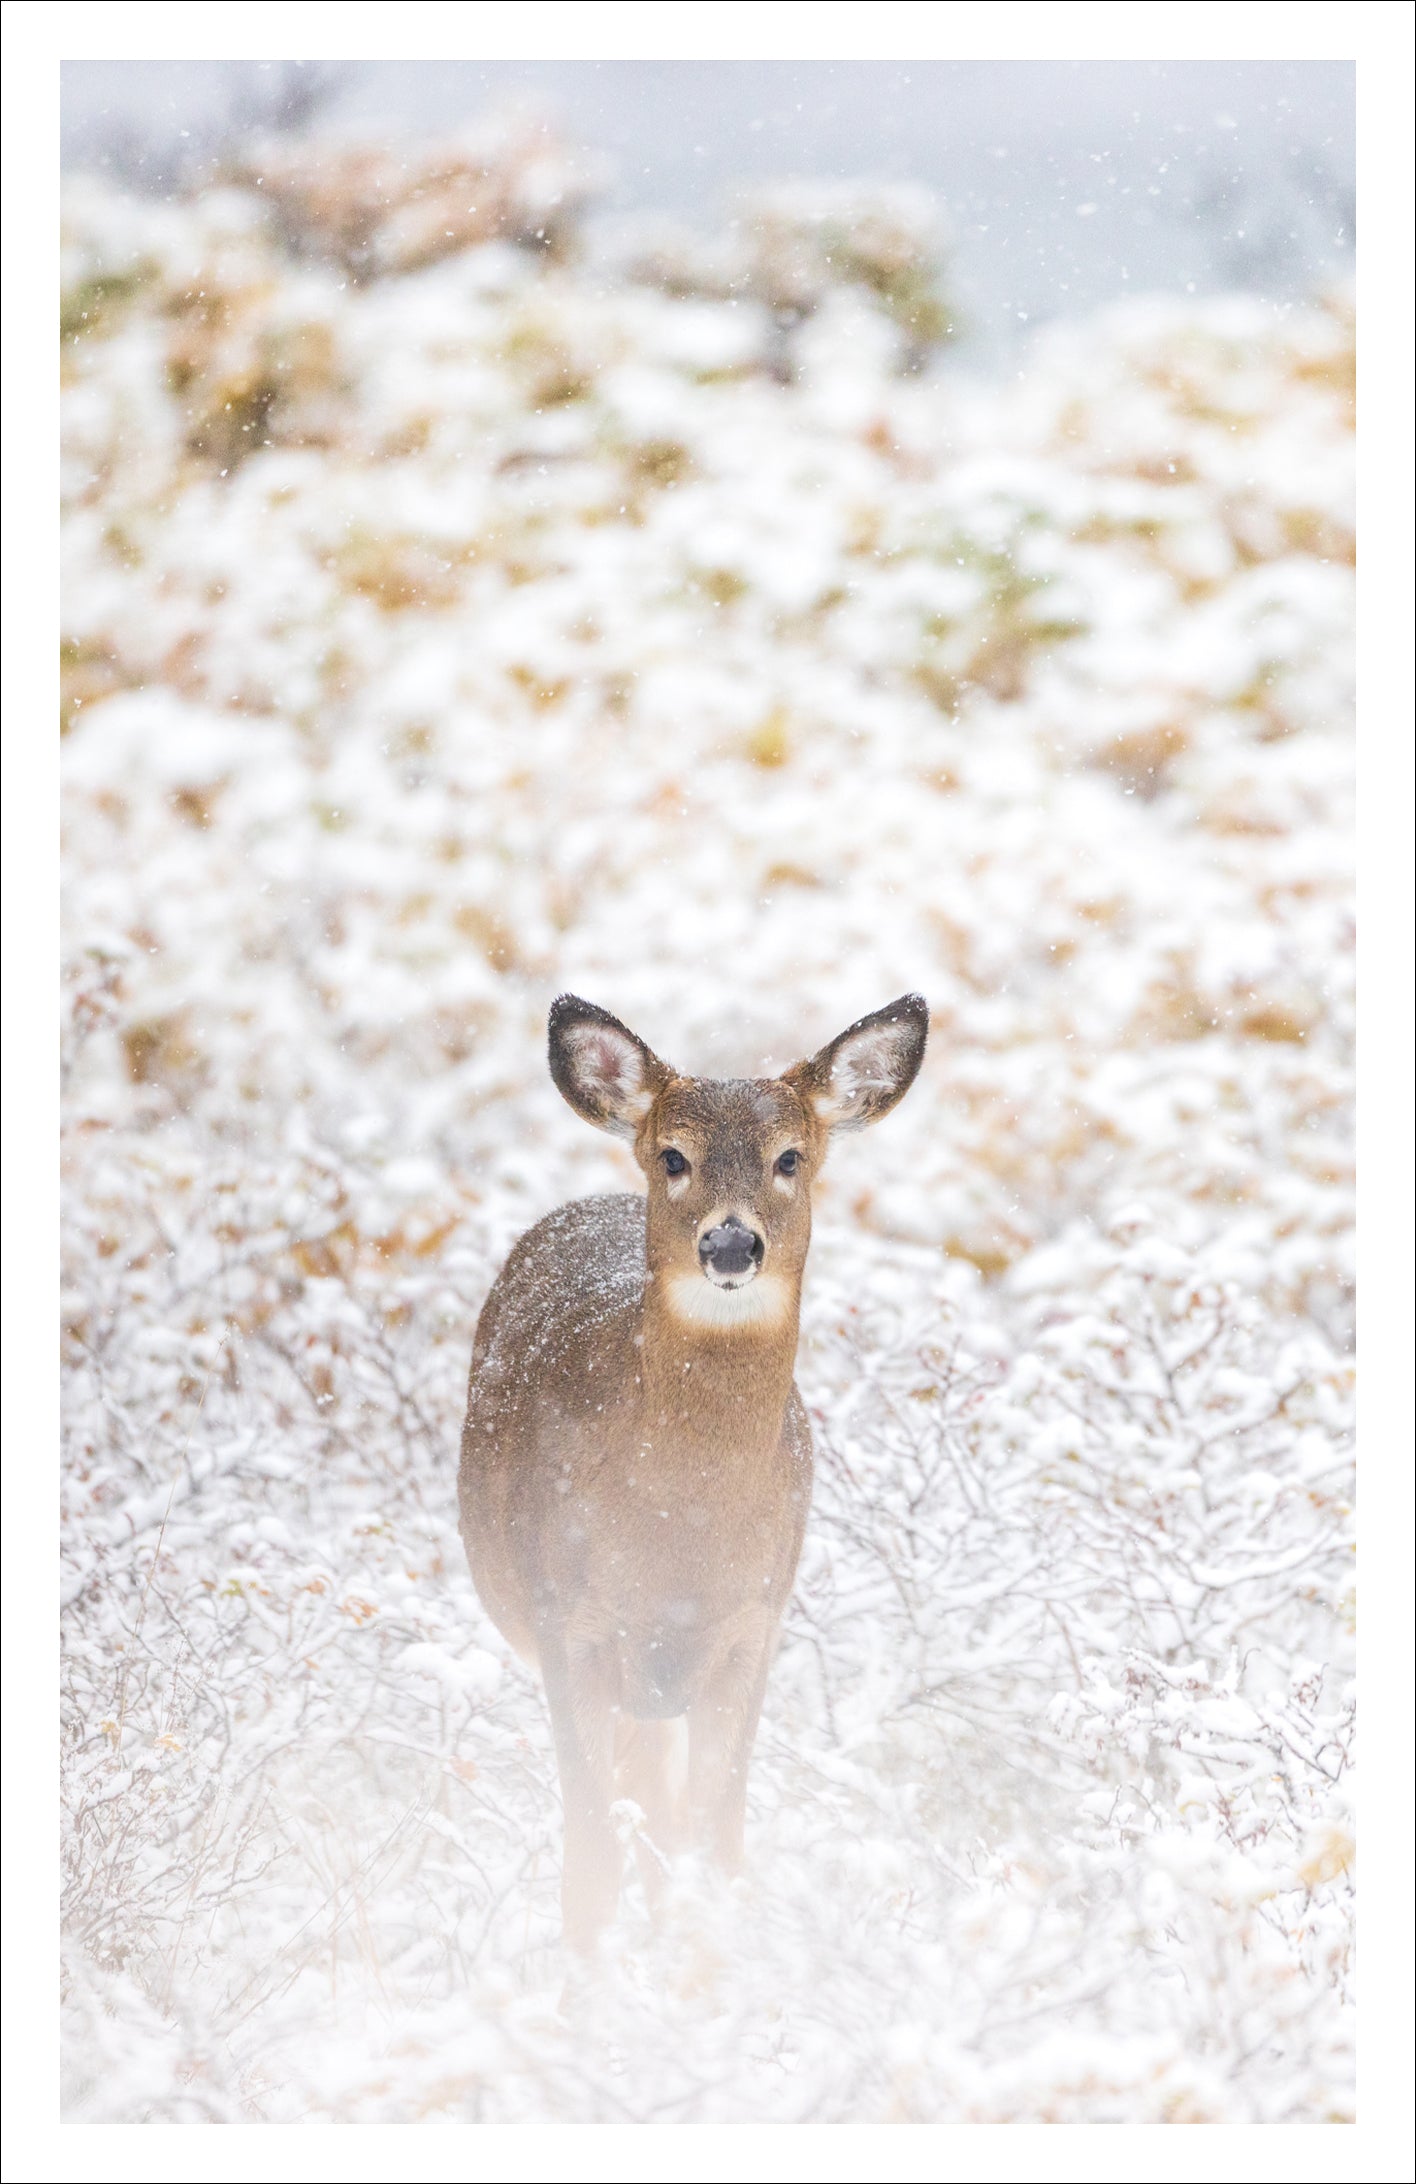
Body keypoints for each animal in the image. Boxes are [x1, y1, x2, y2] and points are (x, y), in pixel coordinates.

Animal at [458, 991, 935, 1948]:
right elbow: (591, 1861)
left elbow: (718, 1850)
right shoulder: (567, 1621)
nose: (730, 1246)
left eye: (791, 1157)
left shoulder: (754, 1626)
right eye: (674, 1155)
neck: (678, 1537)